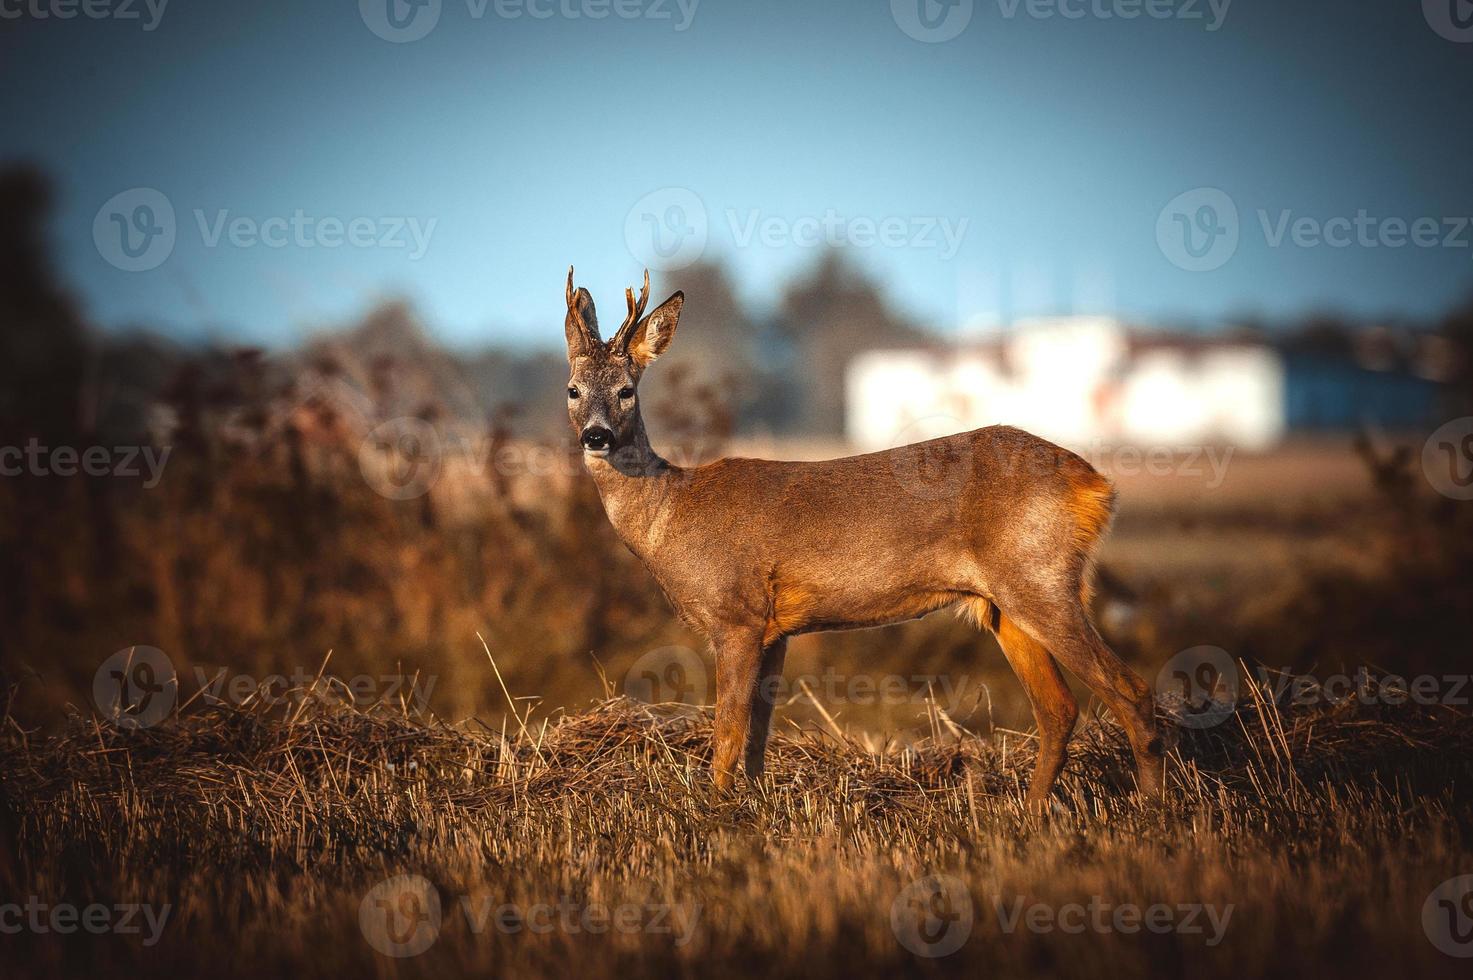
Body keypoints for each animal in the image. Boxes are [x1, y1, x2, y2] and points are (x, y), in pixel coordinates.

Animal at [559, 263, 1160, 807]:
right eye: (572, 390)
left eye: (627, 391)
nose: (597, 436)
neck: (672, 515)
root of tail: (1095, 483)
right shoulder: (775, 631)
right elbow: (757, 736)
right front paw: (750, 807)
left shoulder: (738, 616)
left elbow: (728, 732)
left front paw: (715, 809)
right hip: (1004, 604)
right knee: (1058, 708)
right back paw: (1033, 816)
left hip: (1041, 579)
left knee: (1129, 689)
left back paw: (1155, 808)